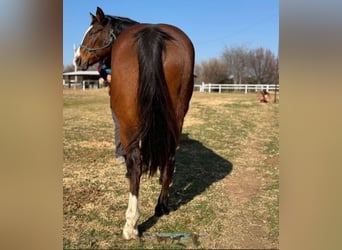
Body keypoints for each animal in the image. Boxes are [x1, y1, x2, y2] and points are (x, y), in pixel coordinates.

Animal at [73, 6, 194, 239]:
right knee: (170, 157)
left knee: (136, 162)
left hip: (128, 124)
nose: (77, 59)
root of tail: (152, 34)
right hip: (176, 118)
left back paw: (131, 224)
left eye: (94, 32)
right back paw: (161, 206)